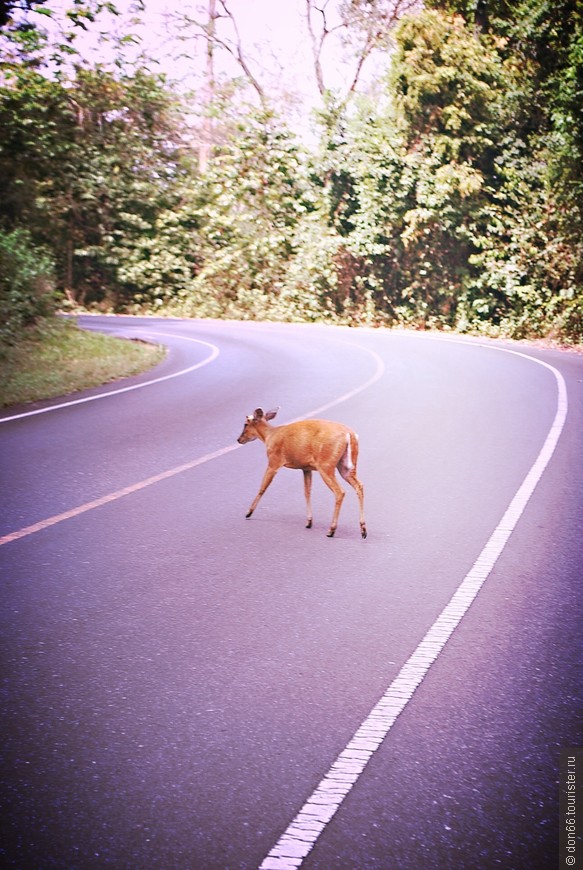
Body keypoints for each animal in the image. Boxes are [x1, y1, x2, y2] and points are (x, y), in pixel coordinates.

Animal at [236, 408, 364, 540]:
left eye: (245, 424)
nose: (239, 439)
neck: (269, 436)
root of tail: (349, 434)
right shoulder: (305, 468)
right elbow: (307, 492)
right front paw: (309, 522)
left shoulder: (274, 462)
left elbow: (262, 487)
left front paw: (248, 512)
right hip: (346, 466)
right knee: (359, 485)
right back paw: (363, 530)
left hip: (326, 465)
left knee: (340, 492)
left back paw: (331, 530)